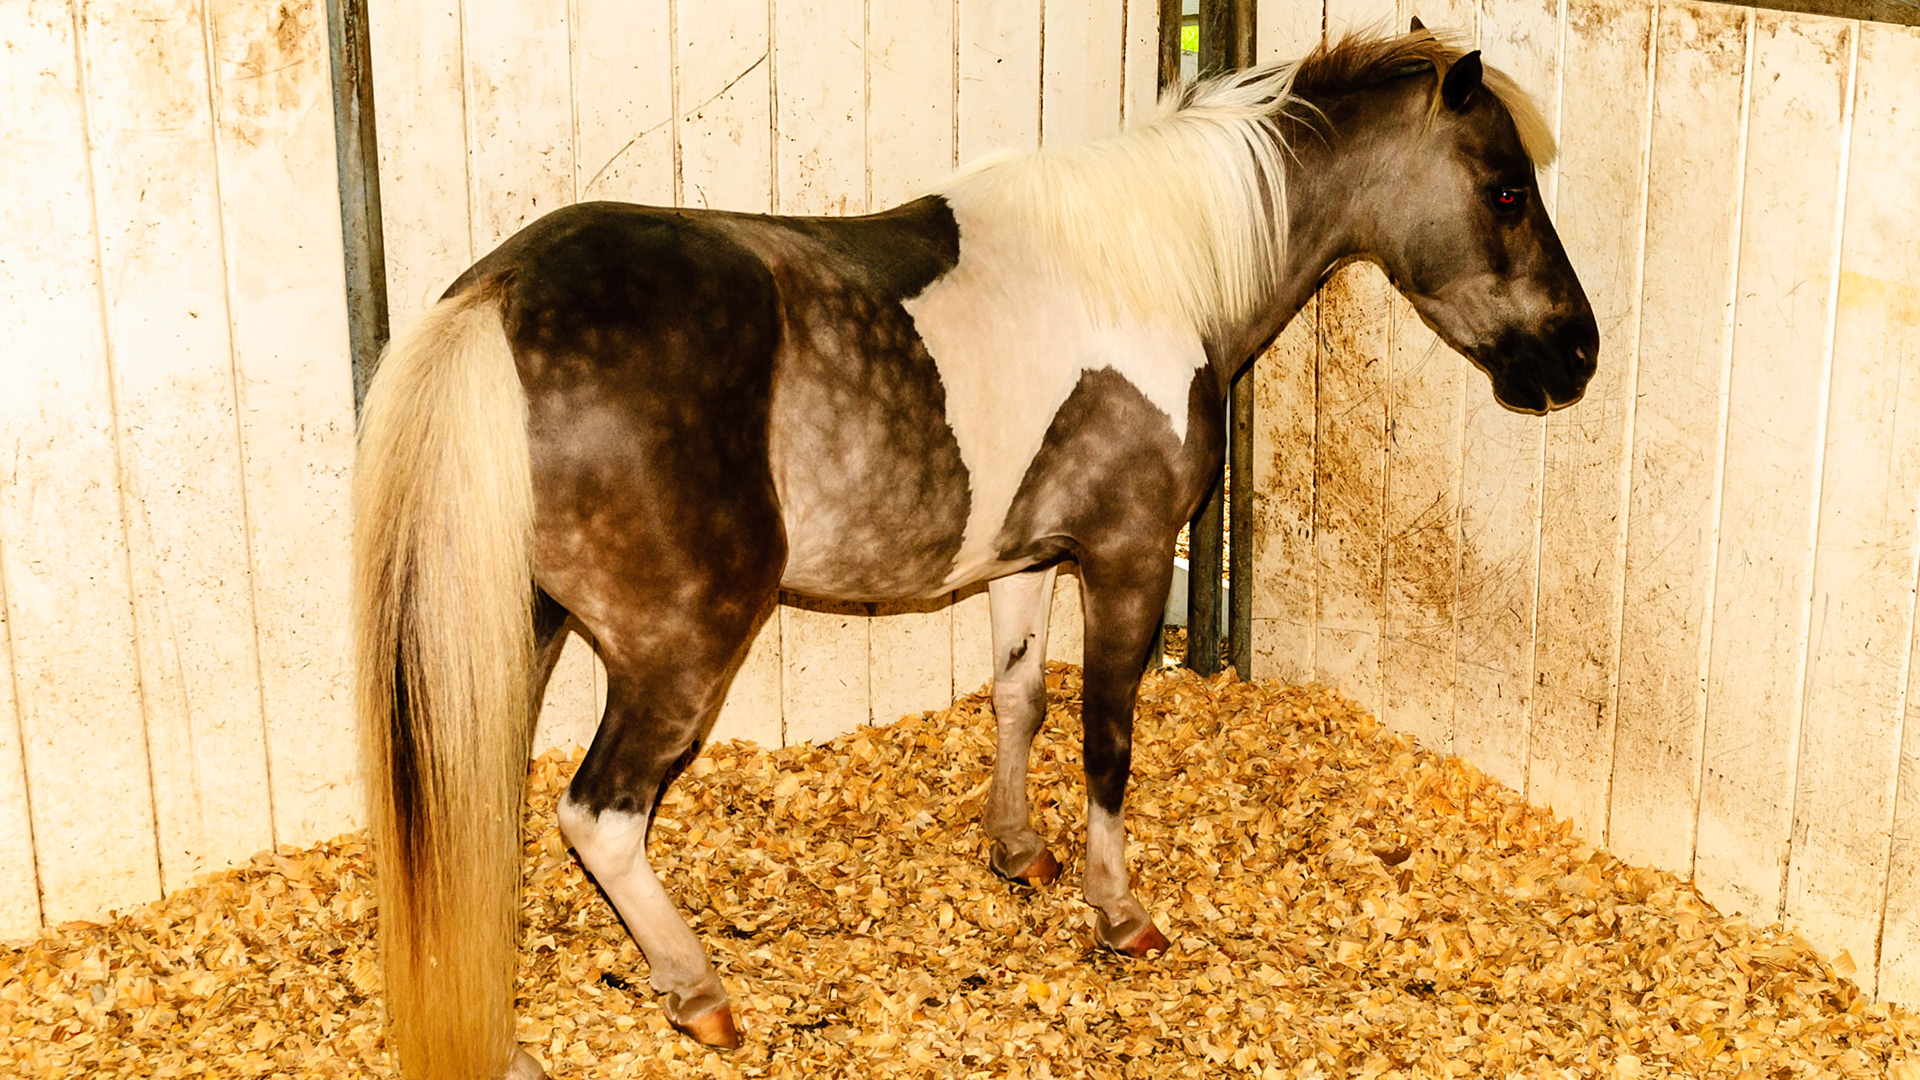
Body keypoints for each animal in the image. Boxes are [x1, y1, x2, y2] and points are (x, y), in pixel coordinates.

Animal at [351, 27, 1596, 1080]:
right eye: (1506, 189)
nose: (1576, 353)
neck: (1148, 269)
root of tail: (500, 297)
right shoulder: (1128, 557)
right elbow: (1106, 741)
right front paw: (1118, 911)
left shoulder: (1027, 561)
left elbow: (1016, 701)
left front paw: (1019, 851)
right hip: (677, 648)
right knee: (599, 816)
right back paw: (697, 990)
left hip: (519, 630)